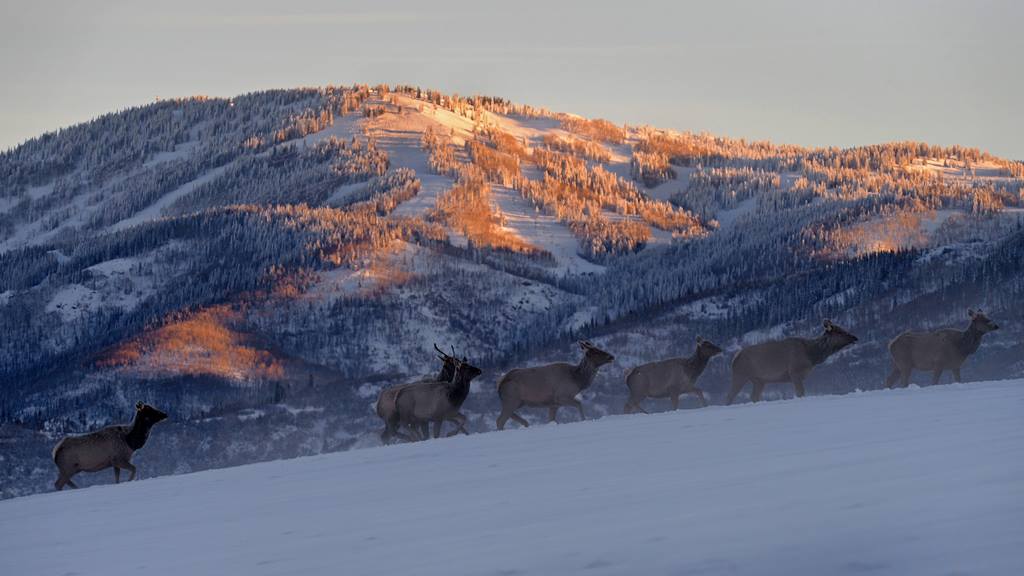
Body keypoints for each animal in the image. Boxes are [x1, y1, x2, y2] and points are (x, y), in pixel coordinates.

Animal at [725, 320, 858, 405]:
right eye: (839, 331)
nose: (855, 337)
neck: (812, 356)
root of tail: (735, 358)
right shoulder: (795, 372)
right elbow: (800, 393)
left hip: (759, 380)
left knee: (754, 396)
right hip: (740, 374)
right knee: (730, 395)